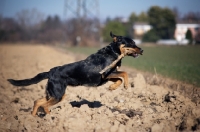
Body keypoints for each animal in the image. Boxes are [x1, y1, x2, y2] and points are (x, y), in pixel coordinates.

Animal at [7, 32, 142, 116]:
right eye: (131, 43)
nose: (142, 50)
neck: (113, 52)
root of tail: (50, 71)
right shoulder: (107, 74)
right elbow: (124, 73)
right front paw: (126, 85)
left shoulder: (107, 76)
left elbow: (119, 78)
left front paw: (112, 87)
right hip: (58, 94)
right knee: (44, 105)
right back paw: (50, 118)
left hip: (53, 93)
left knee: (37, 102)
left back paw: (34, 117)